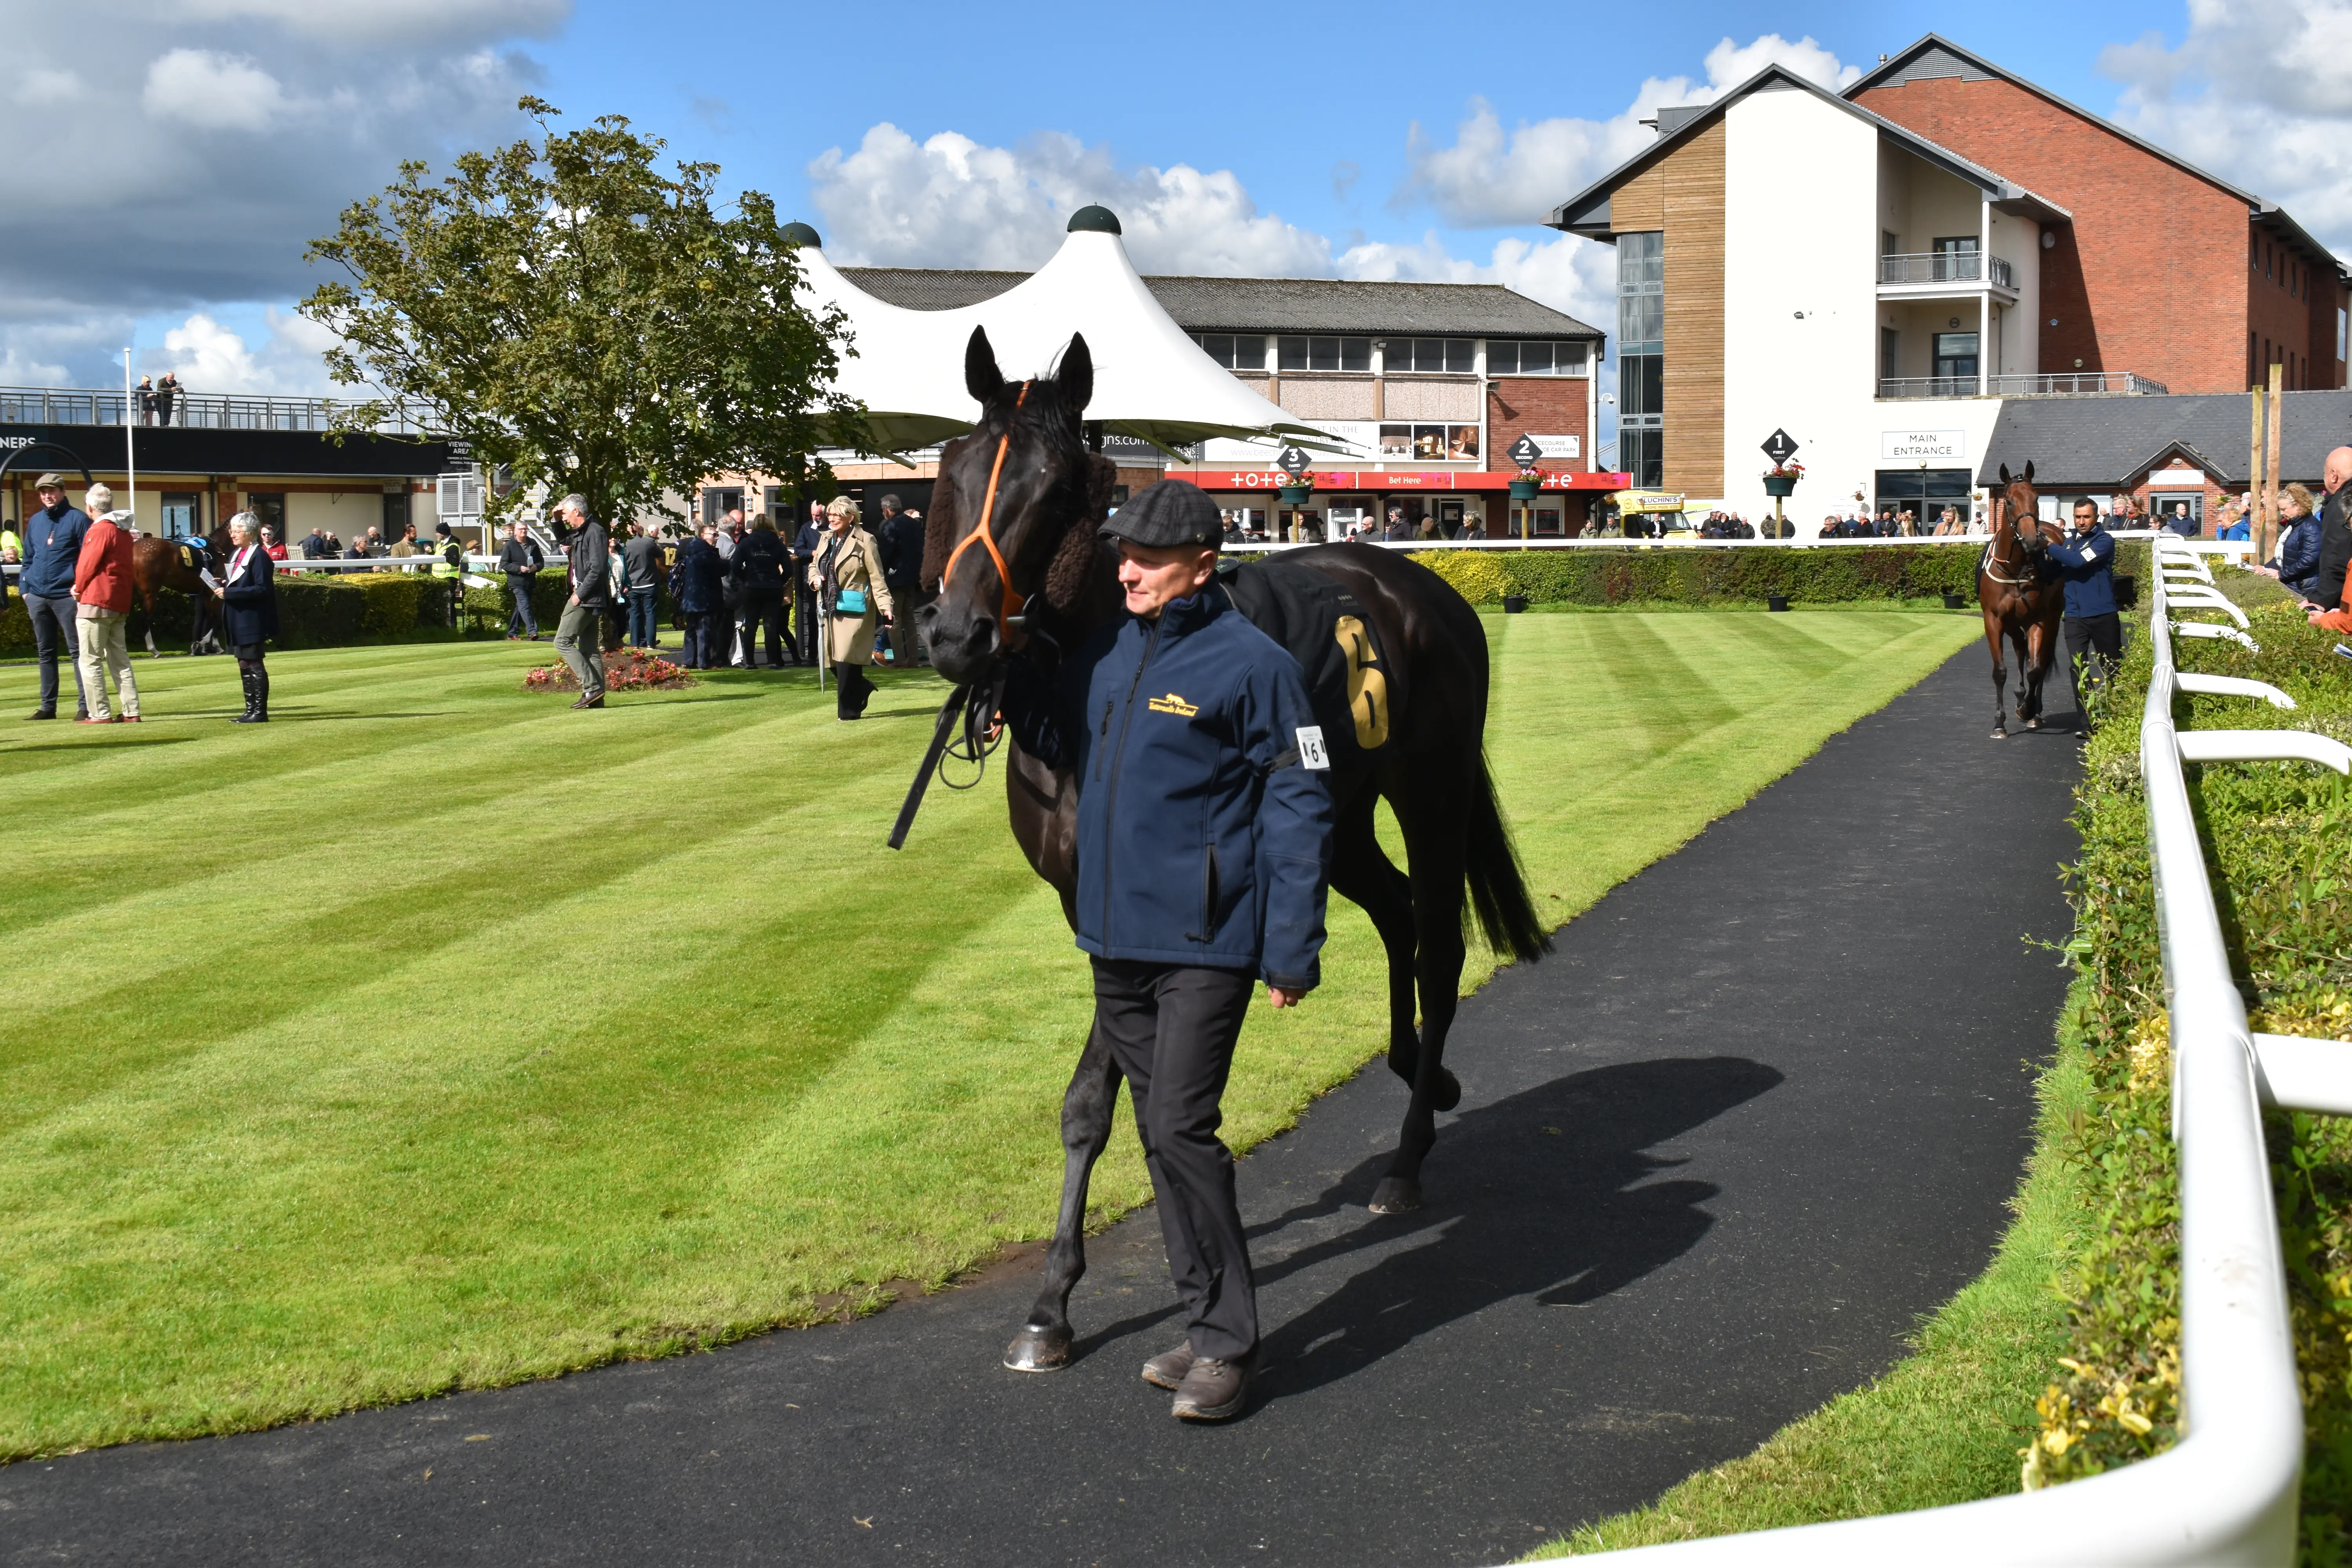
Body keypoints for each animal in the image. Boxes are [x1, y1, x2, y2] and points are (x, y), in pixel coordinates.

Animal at [129, 524, 227, 653]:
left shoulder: (207, 594)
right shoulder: (214, 592)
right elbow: (217, 619)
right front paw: (207, 644)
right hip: (151, 591)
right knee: (145, 617)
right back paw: (154, 649)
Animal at [922, 322, 1562, 1373]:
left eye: (1054, 490)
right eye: (955, 469)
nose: (959, 633)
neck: (1098, 694)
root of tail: (1423, 585)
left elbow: (1100, 1094)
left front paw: (1060, 1298)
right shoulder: (1089, 902)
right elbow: (1107, 1098)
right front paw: (1055, 1301)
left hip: (1429, 790)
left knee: (1436, 939)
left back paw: (1408, 1155)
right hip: (1334, 817)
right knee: (1393, 910)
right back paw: (1417, 1069)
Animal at [1976, 463, 2070, 738]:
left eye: (2036, 498)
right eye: (2008, 501)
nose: (2032, 542)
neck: (2015, 570)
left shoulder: (2038, 619)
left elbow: (2036, 669)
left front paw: (2029, 711)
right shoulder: (1994, 620)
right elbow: (2000, 672)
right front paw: (2000, 723)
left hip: (2053, 617)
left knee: (2042, 659)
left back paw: (2034, 709)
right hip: (2011, 622)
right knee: (2019, 648)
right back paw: (2019, 696)